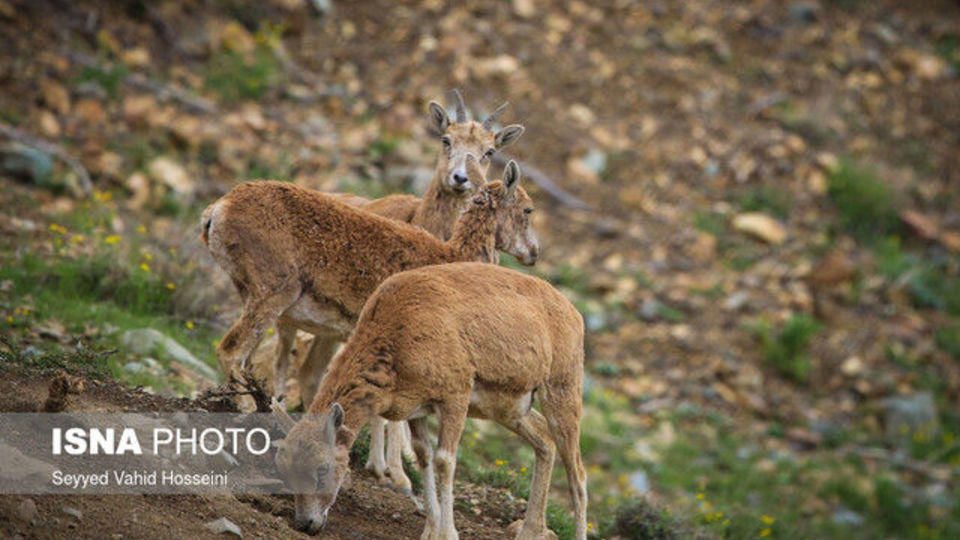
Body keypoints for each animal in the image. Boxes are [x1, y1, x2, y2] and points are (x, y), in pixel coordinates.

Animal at [270, 262, 584, 540]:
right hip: (511, 410)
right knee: (544, 442)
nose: (306, 524)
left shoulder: (455, 398)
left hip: (562, 394)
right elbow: (424, 458)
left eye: (322, 468)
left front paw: (447, 534)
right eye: (284, 469)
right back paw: (529, 531)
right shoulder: (418, 410)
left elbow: (444, 461)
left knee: (577, 476)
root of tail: (574, 315)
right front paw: (430, 531)